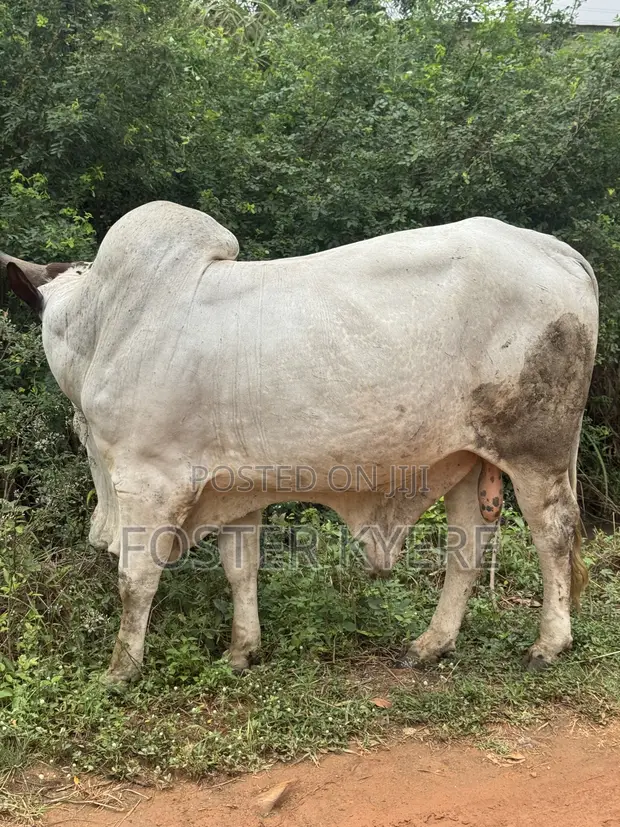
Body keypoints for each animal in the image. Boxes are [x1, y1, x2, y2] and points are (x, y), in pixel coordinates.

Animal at [3, 201, 598, 687]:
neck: (102, 327)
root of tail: (559, 251)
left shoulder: (148, 480)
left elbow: (136, 579)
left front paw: (120, 671)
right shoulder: (233, 487)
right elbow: (240, 569)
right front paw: (241, 651)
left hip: (538, 452)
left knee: (553, 533)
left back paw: (548, 644)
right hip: (467, 459)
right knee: (468, 547)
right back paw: (431, 644)